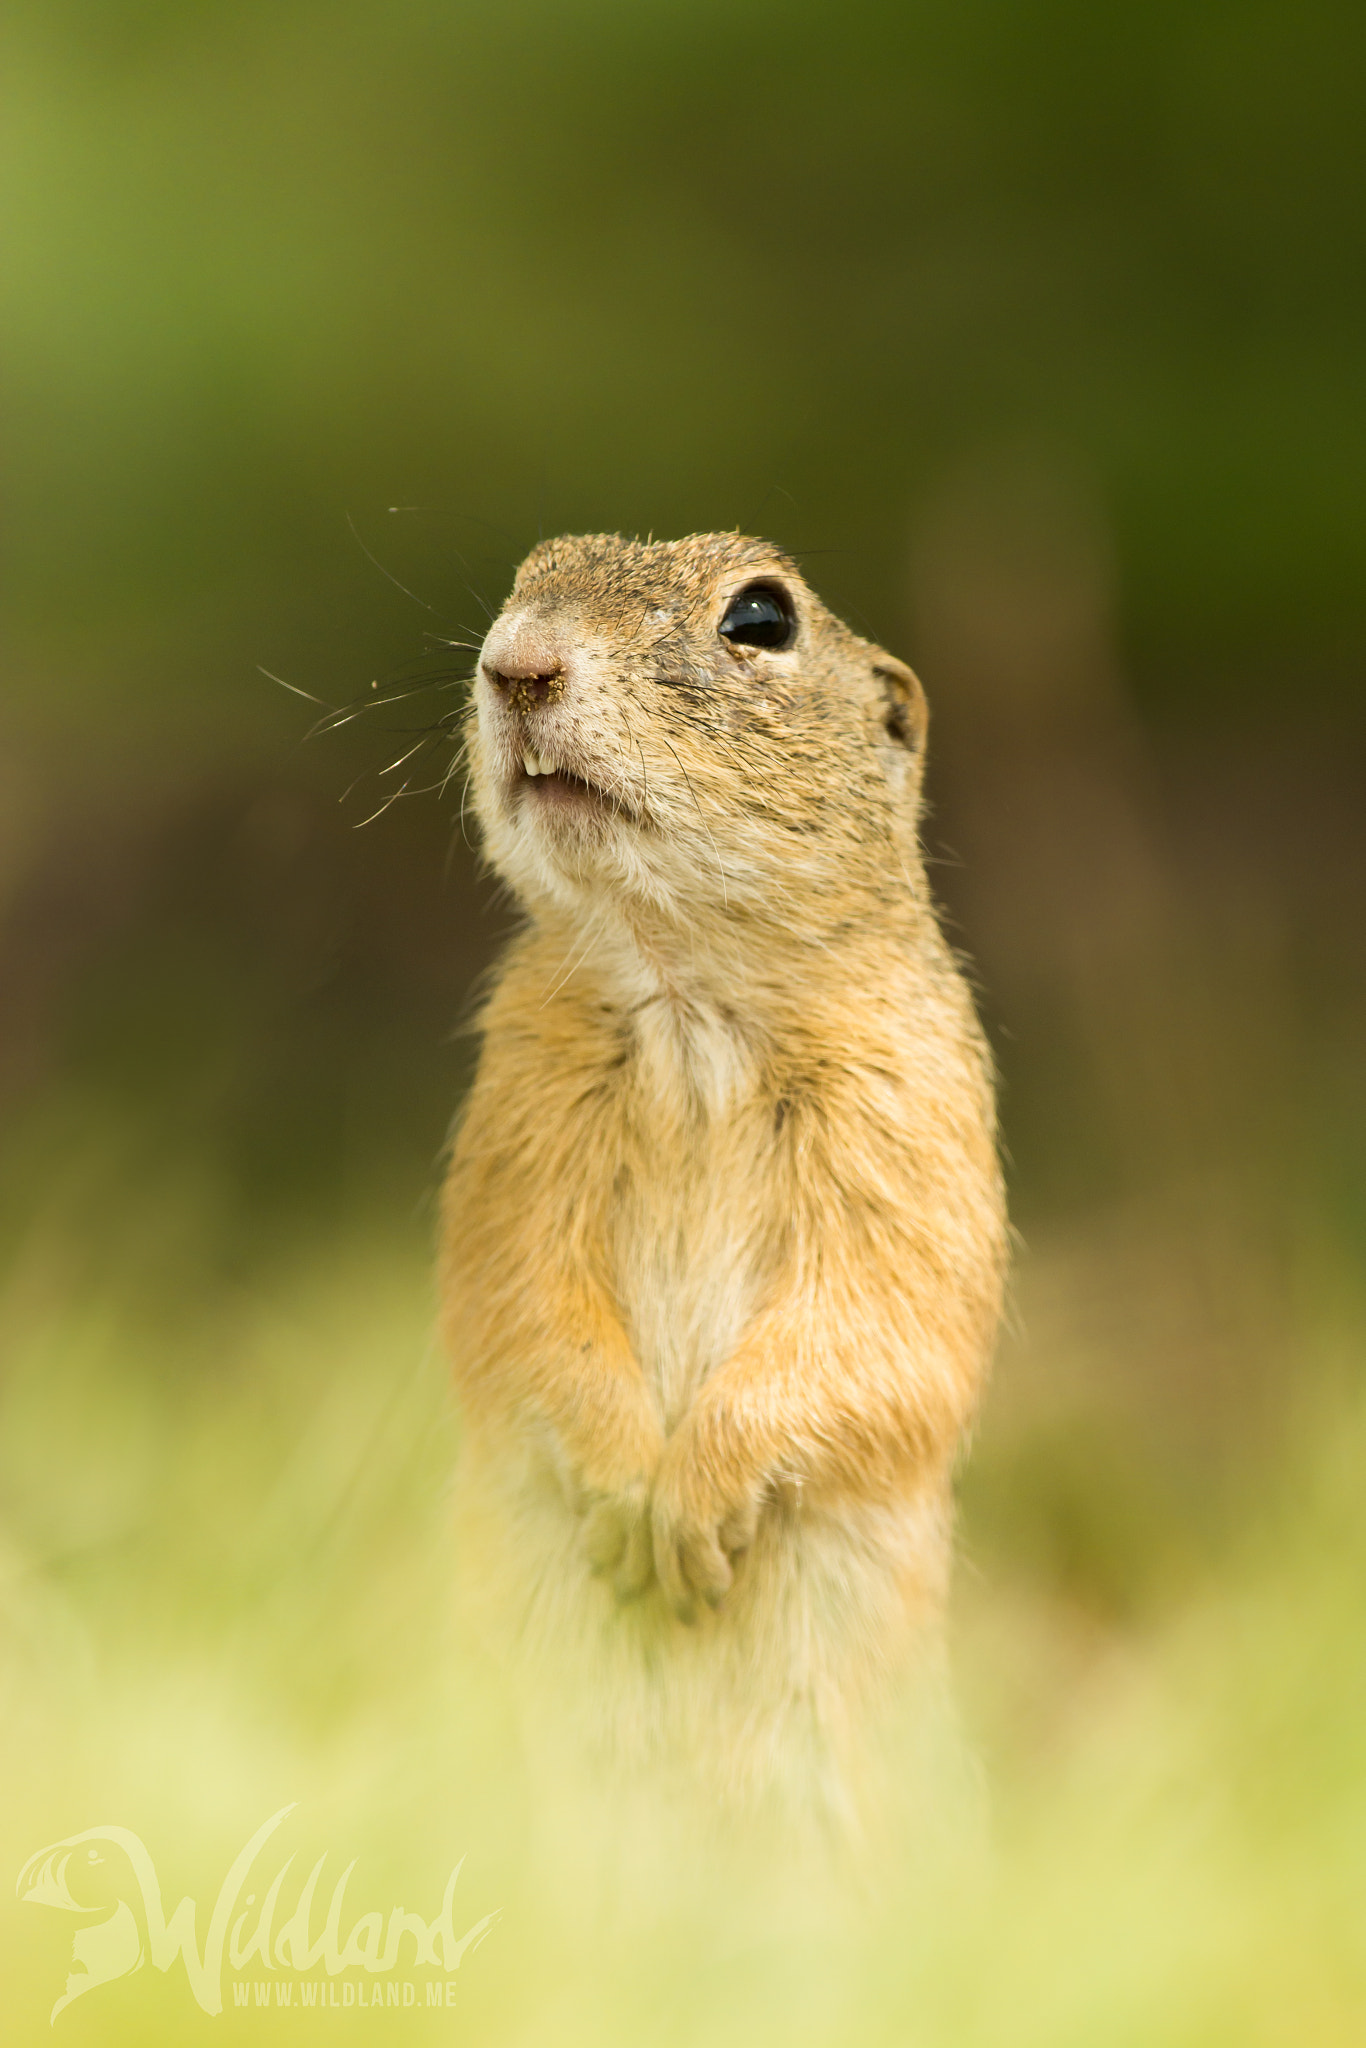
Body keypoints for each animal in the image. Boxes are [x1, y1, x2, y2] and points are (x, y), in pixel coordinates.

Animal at [438, 536, 1003, 1818]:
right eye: (528, 571)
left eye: (760, 616)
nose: (516, 662)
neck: (683, 985)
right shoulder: (518, 1120)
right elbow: (523, 1307)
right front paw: (625, 1494)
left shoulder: (908, 1115)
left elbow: (873, 1317)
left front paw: (689, 1511)